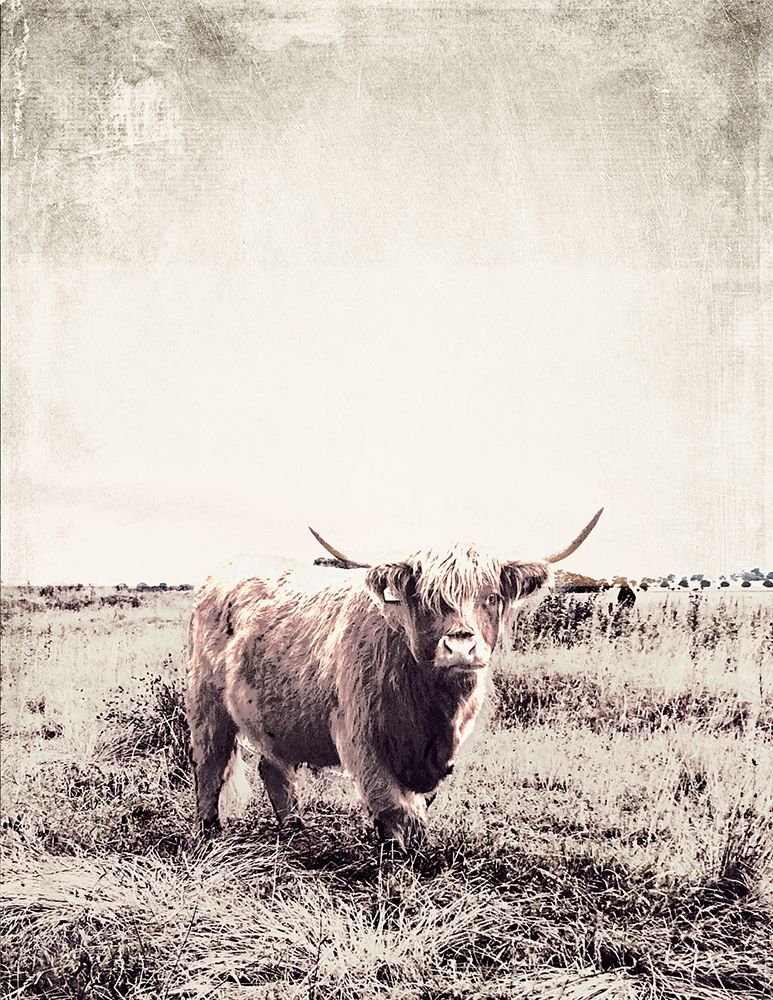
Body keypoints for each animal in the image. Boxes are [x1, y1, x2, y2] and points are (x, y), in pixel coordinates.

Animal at [186, 509, 603, 847]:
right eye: (428, 600)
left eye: (491, 597)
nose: (461, 647)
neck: (433, 707)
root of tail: (223, 571)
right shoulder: (361, 738)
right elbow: (396, 808)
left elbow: (416, 804)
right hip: (206, 703)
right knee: (210, 764)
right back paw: (209, 832)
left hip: (273, 716)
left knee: (273, 767)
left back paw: (294, 830)